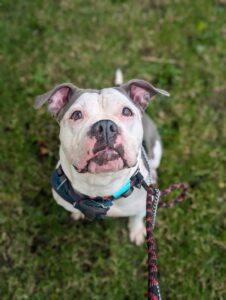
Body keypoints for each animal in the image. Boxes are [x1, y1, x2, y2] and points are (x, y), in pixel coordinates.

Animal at [34, 77, 169, 244]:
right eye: (76, 115)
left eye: (126, 111)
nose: (105, 126)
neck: (102, 185)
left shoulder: (143, 206)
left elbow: (137, 217)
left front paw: (137, 231)